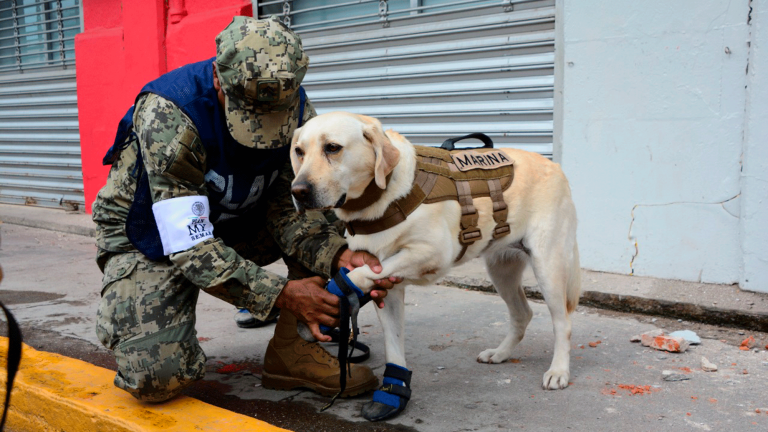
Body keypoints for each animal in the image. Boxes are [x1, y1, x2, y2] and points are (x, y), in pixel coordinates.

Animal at [292, 111, 580, 422]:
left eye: (332, 147)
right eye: (298, 151)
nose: (297, 191)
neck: (381, 197)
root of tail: (554, 165)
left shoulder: (433, 253)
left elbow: (357, 275)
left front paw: (336, 293)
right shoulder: (389, 286)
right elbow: (393, 344)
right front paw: (392, 394)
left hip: (548, 265)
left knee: (563, 322)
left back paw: (558, 371)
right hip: (501, 269)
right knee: (522, 314)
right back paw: (500, 353)